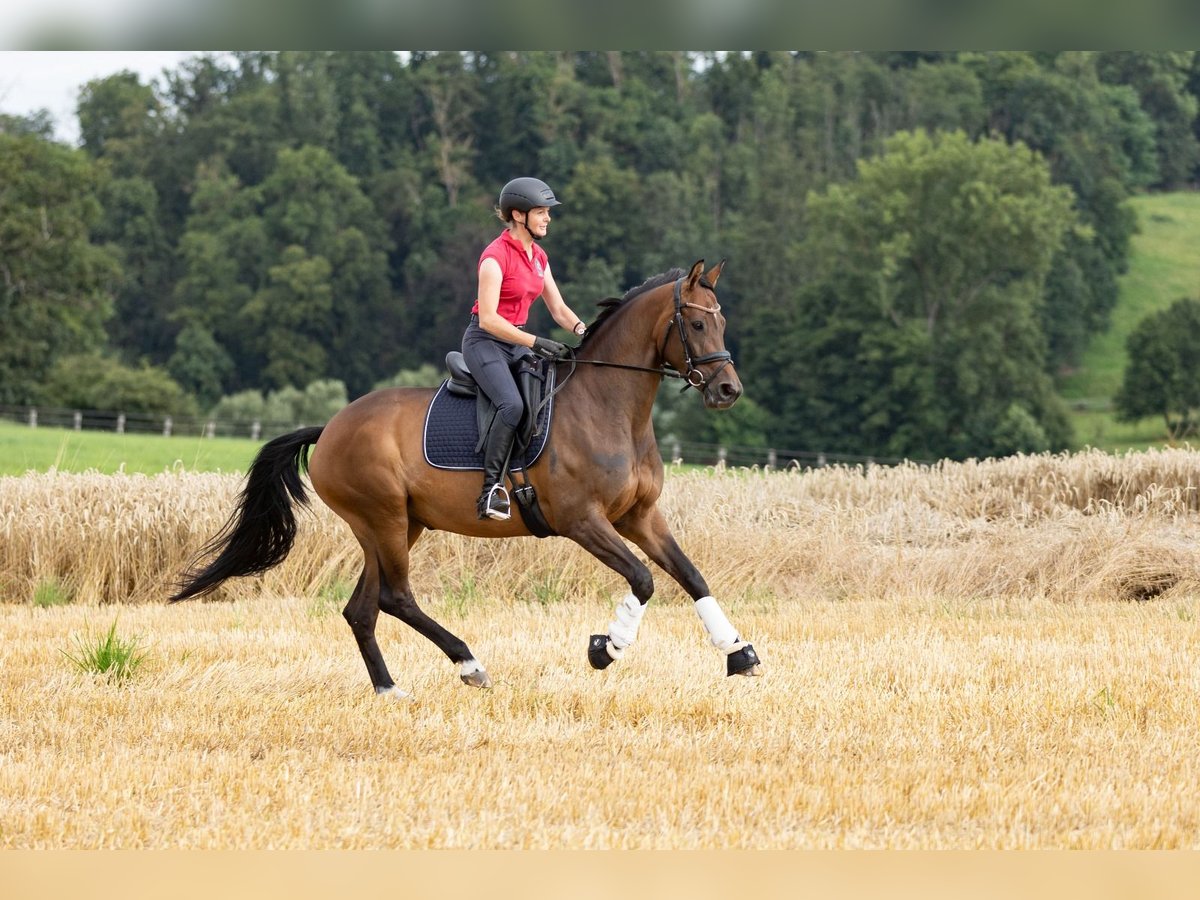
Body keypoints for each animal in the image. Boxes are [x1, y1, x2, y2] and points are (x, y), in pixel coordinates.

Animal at [171, 259, 758, 696]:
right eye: (697, 324)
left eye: (723, 321)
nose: (728, 390)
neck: (610, 406)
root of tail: (332, 426)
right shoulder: (581, 520)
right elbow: (643, 579)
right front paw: (605, 648)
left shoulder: (640, 516)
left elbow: (691, 576)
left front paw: (738, 653)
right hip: (383, 518)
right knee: (396, 598)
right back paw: (470, 664)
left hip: (395, 526)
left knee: (362, 608)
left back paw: (390, 689)